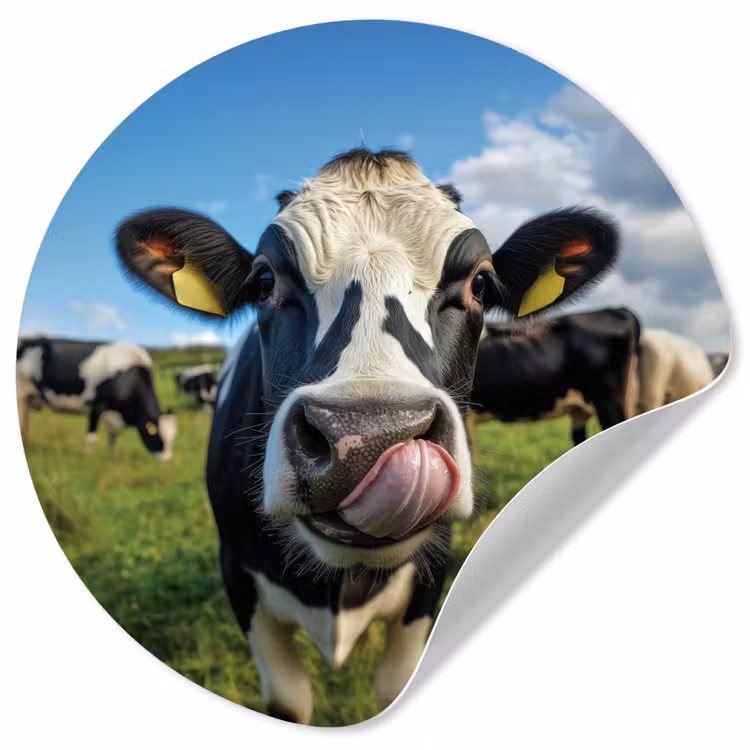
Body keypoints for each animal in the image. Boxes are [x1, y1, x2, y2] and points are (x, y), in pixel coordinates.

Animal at [16, 336, 177, 460]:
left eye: (172, 438)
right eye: (158, 435)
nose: (167, 461)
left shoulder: (114, 416)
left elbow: (112, 439)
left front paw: (108, 458)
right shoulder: (97, 406)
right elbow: (91, 437)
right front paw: (88, 458)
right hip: (20, 394)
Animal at [114, 148, 619, 723]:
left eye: (481, 284)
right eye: (264, 281)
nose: (367, 438)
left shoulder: (429, 579)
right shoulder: (240, 580)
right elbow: (289, 700)